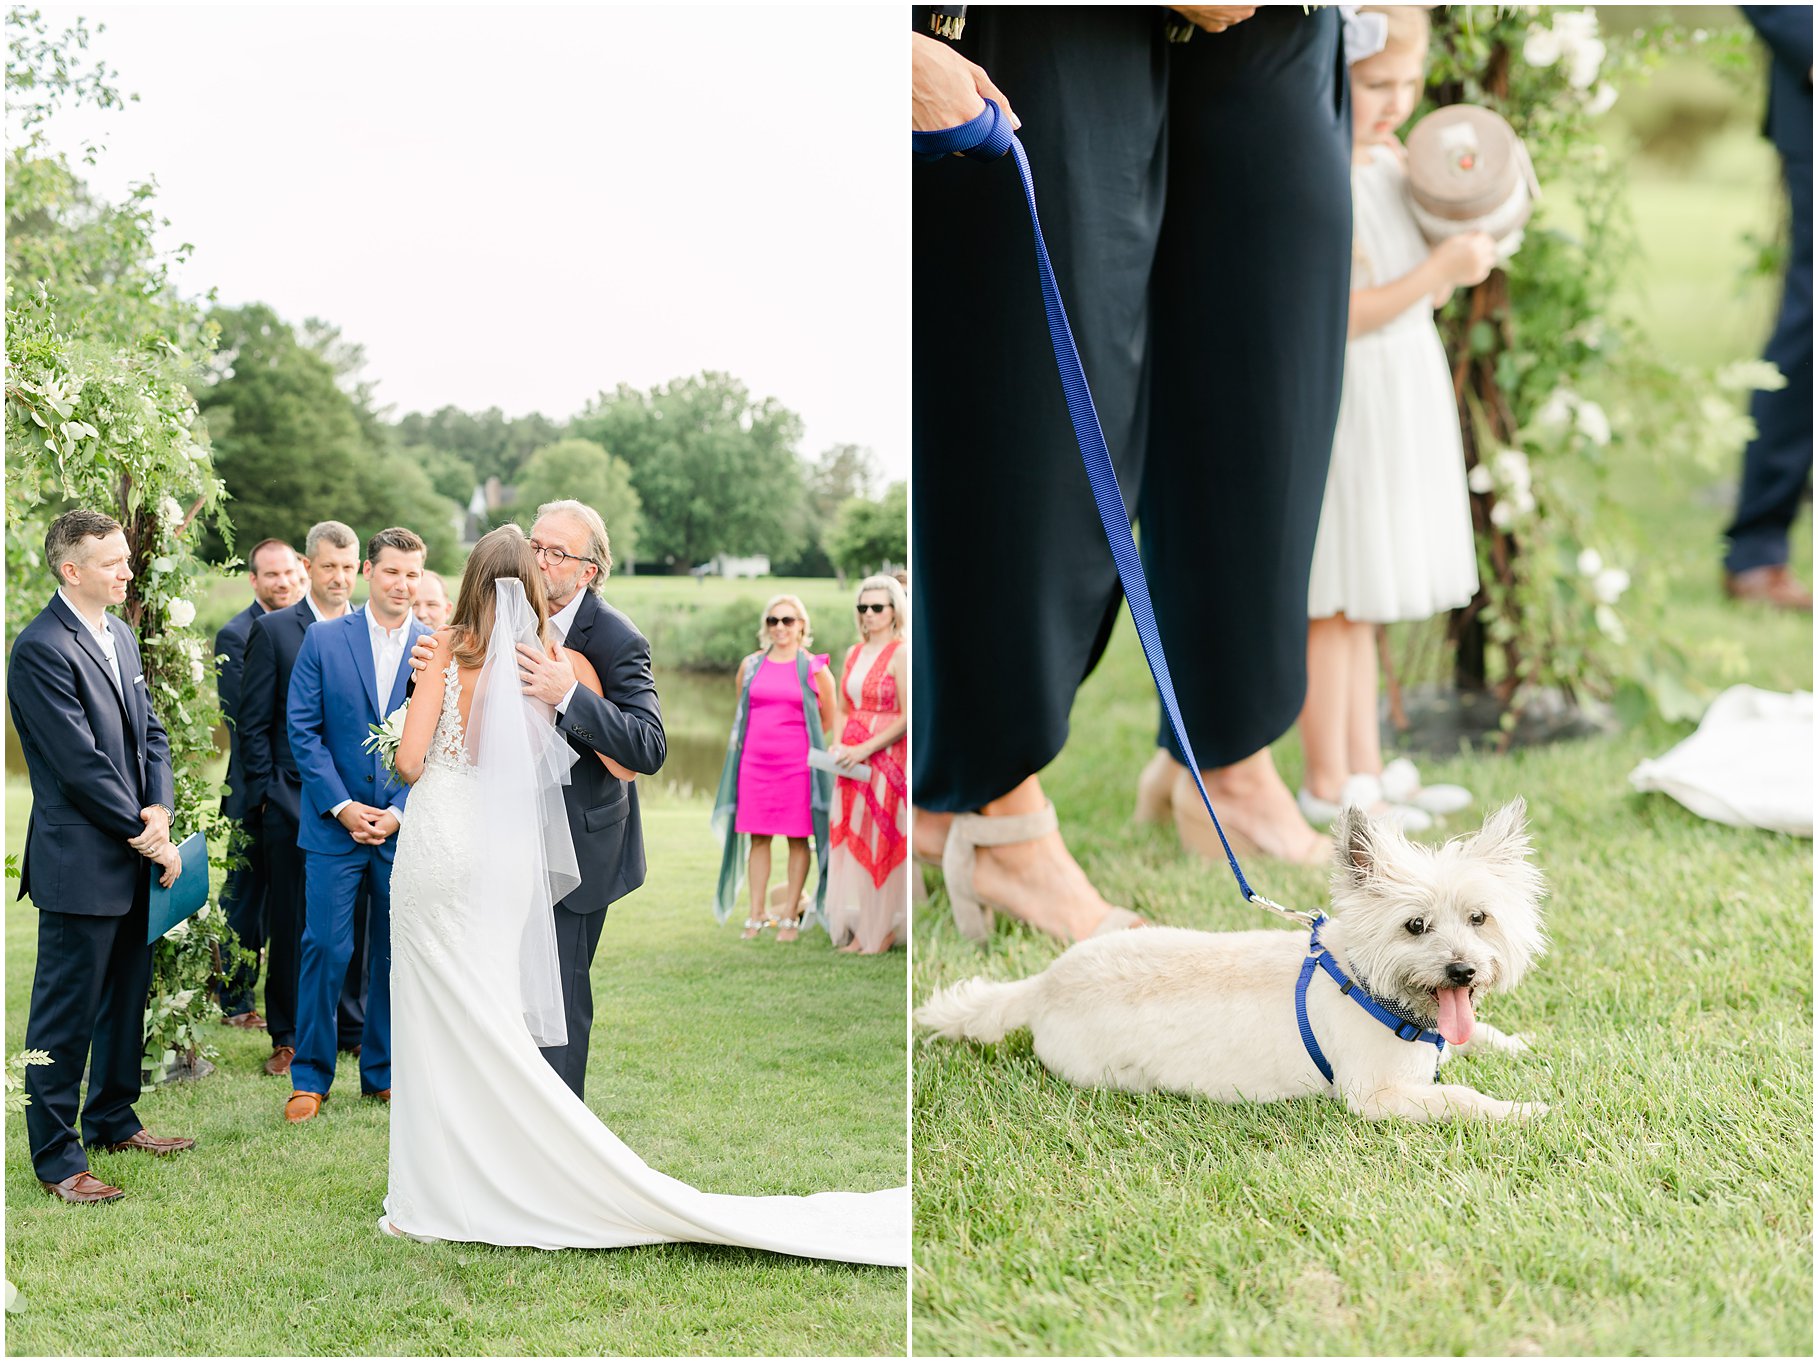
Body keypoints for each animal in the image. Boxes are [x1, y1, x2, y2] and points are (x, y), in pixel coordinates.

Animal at [916, 796, 1541, 1112]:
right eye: (1415, 926)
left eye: (1479, 918)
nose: (1463, 969)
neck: (1369, 987)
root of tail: (1043, 983)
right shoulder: (1374, 1095)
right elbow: (1459, 1097)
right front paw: (1522, 1112)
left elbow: (1482, 1037)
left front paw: (1527, 1046)